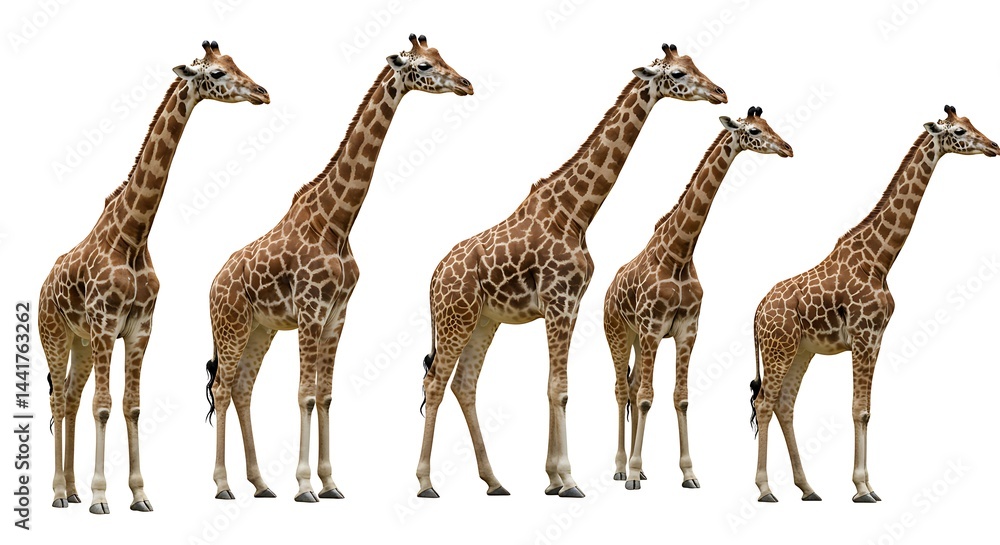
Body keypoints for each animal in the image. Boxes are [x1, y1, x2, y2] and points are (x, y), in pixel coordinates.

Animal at [38, 41, 269, 515]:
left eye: (234, 63)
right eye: (216, 74)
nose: (262, 92)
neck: (133, 235)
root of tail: (41, 287)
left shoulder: (139, 327)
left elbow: (132, 406)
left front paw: (139, 494)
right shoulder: (107, 325)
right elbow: (104, 405)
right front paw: (101, 497)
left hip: (80, 341)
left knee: (68, 397)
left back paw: (70, 489)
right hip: (54, 333)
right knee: (57, 398)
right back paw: (58, 493)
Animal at [204, 34, 473, 503]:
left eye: (441, 56)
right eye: (422, 65)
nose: (465, 83)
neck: (337, 221)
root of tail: (211, 286)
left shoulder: (337, 314)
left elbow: (325, 395)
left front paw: (330, 483)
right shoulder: (311, 310)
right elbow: (305, 395)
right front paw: (304, 485)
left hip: (260, 329)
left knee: (241, 388)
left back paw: (260, 484)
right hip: (231, 325)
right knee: (221, 388)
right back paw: (222, 486)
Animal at [416, 43, 728, 498]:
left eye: (694, 64)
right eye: (677, 74)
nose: (721, 92)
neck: (576, 213)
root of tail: (434, 277)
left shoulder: (571, 305)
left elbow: (554, 385)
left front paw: (552, 478)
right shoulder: (558, 301)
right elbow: (559, 388)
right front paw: (568, 479)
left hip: (483, 320)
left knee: (463, 383)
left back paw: (494, 481)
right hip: (454, 316)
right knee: (435, 383)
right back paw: (425, 482)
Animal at [604, 106, 793, 491]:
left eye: (770, 125)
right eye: (754, 130)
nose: (787, 148)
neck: (679, 254)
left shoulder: (686, 331)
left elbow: (681, 398)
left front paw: (688, 473)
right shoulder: (652, 327)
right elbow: (645, 398)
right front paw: (632, 475)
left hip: (636, 338)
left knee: (630, 385)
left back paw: (638, 468)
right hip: (618, 333)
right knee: (620, 391)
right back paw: (619, 468)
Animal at [749, 105, 998, 503]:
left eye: (972, 124)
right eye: (959, 131)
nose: (994, 146)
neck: (880, 260)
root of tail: (757, 311)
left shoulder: (878, 338)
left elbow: (867, 410)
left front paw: (868, 485)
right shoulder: (863, 337)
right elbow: (858, 410)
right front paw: (861, 488)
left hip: (801, 349)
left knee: (785, 404)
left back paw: (808, 488)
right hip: (778, 347)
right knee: (764, 403)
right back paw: (765, 488)